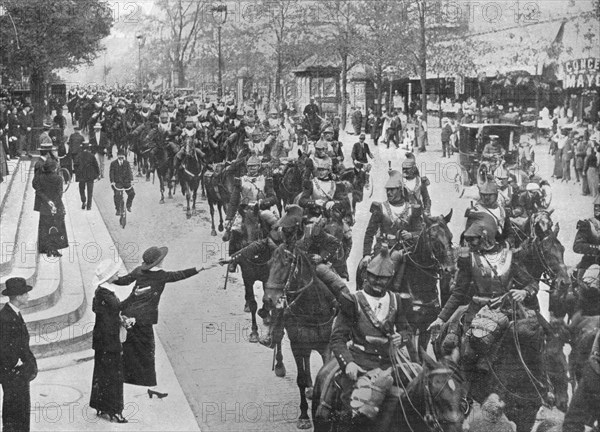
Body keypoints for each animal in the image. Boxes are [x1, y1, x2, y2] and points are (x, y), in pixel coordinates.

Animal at [264, 246, 340, 428]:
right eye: (269, 264)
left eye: (285, 265)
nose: (268, 299)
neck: (312, 307)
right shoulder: (297, 345)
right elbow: (300, 379)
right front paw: (304, 416)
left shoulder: (325, 346)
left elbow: (323, 369)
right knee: (279, 340)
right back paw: (279, 366)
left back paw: (311, 388)